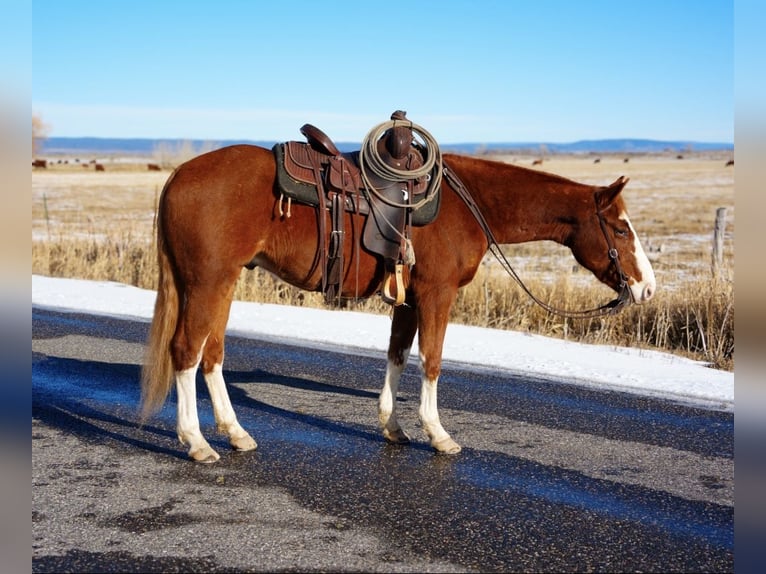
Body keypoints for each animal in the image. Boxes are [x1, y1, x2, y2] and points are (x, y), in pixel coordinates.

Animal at [140, 144, 656, 462]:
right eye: (621, 228)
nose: (647, 287)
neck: (467, 203)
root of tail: (179, 174)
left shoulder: (409, 301)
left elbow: (397, 357)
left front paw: (392, 426)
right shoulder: (437, 294)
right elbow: (432, 360)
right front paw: (439, 434)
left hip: (221, 285)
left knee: (211, 355)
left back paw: (235, 433)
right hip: (207, 281)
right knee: (185, 351)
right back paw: (196, 441)